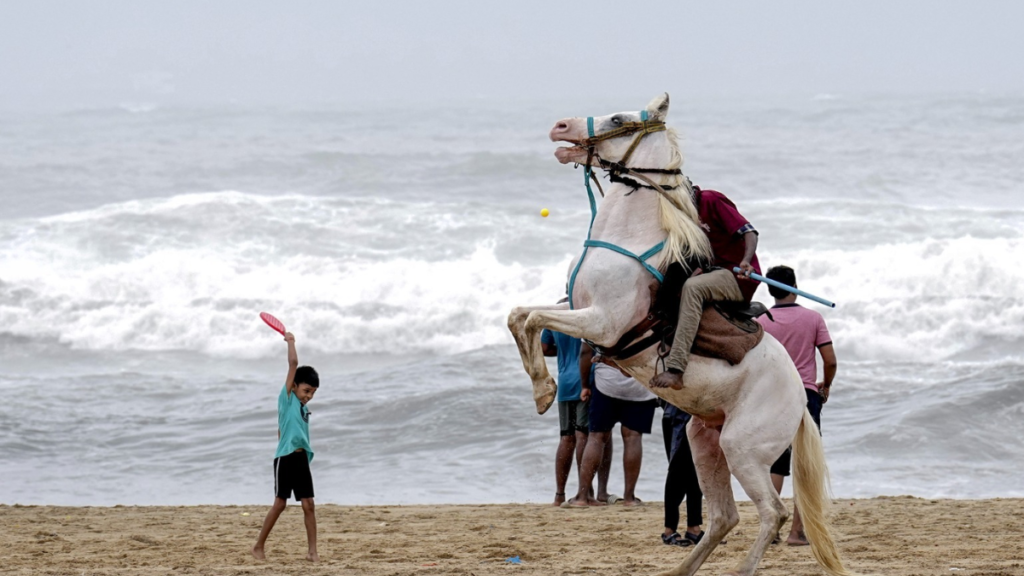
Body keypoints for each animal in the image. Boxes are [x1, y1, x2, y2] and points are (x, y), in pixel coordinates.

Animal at [507, 94, 851, 573]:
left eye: (618, 118)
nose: (559, 126)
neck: (629, 239)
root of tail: (802, 402)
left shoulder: (603, 323)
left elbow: (533, 319)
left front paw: (543, 390)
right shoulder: (578, 312)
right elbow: (519, 316)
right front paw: (542, 390)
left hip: (743, 448)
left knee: (772, 512)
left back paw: (743, 569)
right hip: (704, 441)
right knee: (724, 517)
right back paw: (681, 569)